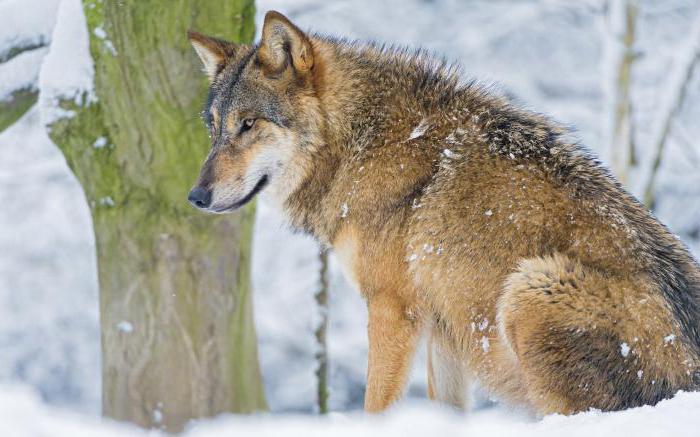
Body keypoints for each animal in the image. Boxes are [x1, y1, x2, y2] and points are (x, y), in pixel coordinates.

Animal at [185, 10, 700, 412]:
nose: (195, 196)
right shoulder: (444, 331)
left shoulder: (393, 309)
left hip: (530, 287)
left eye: (249, 125)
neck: (358, 144)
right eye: (213, 127)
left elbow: (376, 406)